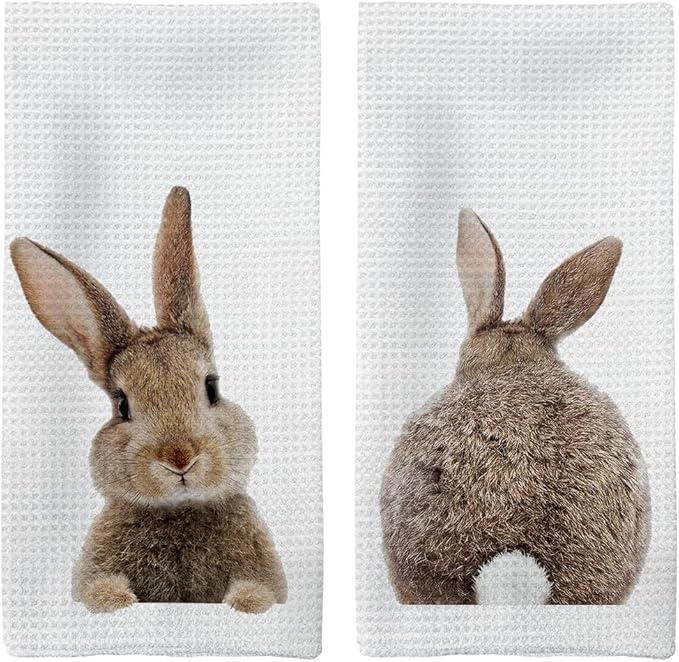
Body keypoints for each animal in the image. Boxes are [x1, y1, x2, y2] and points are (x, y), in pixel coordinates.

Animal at [10, 186, 287, 614]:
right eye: (122, 405)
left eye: (212, 387)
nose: (179, 458)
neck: (180, 510)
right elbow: (99, 589)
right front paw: (115, 601)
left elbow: (257, 590)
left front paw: (247, 604)